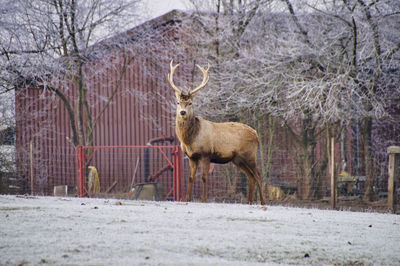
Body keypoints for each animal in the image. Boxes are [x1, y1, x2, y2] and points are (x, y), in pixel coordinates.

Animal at [168, 60, 266, 206]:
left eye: (190, 103)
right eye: (178, 102)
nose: (182, 112)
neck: (190, 139)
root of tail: (256, 133)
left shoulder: (206, 153)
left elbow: (203, 177)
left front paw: (203, 200)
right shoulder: (191, 156)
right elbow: (190, 178)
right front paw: (186, 199)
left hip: (250, 154)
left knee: (258, 175)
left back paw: (263, 202)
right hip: (238, 159)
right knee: (251, 177)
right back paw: (249, 202)